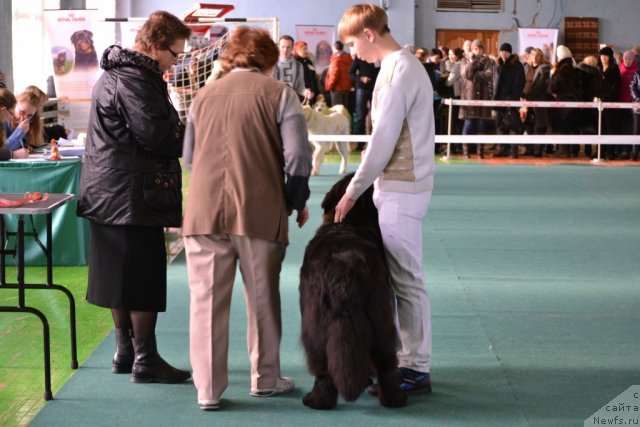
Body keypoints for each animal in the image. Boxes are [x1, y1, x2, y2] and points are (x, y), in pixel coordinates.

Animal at [298, 175, 404, 412]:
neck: (348, 222)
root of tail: (346, 269)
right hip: (380, 316)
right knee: (386, 363)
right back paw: (392, 398)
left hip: (315, 325)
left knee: (323, 368)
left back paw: (316, 400)